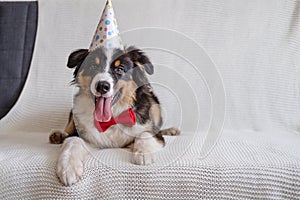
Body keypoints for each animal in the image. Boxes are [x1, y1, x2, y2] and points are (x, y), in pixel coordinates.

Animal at [49, 45, 180, 186]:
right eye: (93, 67)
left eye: (120, 69)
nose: (102, 86)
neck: (111, 118)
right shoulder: (88, 137)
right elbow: (72, 141)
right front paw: (68, 168)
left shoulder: (151, 130)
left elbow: (145, 134)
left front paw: (143, 154)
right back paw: (58, 135)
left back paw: (172, 130)